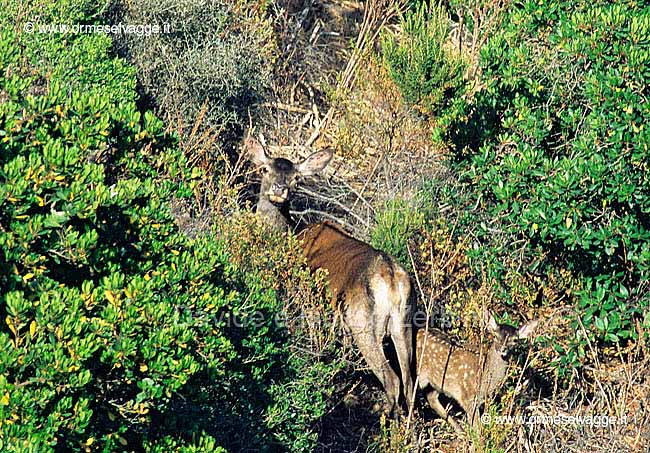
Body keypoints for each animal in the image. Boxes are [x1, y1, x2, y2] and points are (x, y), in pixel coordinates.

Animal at [246, 137, 412, 416]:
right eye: (266, 169)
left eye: (296, 179)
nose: (280, 189)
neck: (289, 236)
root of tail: (391, 279)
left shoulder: (303, 305)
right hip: (404, 323)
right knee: (411, 381)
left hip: (362, 322)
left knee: (392, 379)